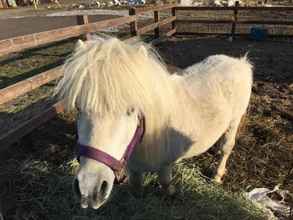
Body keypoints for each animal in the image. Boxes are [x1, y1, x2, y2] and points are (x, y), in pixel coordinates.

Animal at [54, 35, 251, 210]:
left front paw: (170, 193)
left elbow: (165, 182)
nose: (89, 190)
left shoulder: (166, 164)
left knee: (226, 147)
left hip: (235, 120)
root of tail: (239, 62)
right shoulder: (134, 168)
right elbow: (136, 187)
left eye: (131, 110)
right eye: (78, 108)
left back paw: (217, 175)